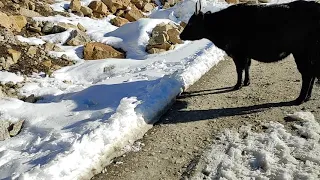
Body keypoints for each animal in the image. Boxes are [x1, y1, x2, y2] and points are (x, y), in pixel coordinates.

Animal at [180, 0, 320, 104]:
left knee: (307, 74)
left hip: (302, 53)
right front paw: (247, 82)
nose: (181, 36)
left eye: (191, 23)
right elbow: (247, 66)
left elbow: (239, 69)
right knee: (312, 73)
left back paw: (299, 99)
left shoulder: (237, 53)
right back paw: (307, 97)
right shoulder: (245, 54)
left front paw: (238, 85)